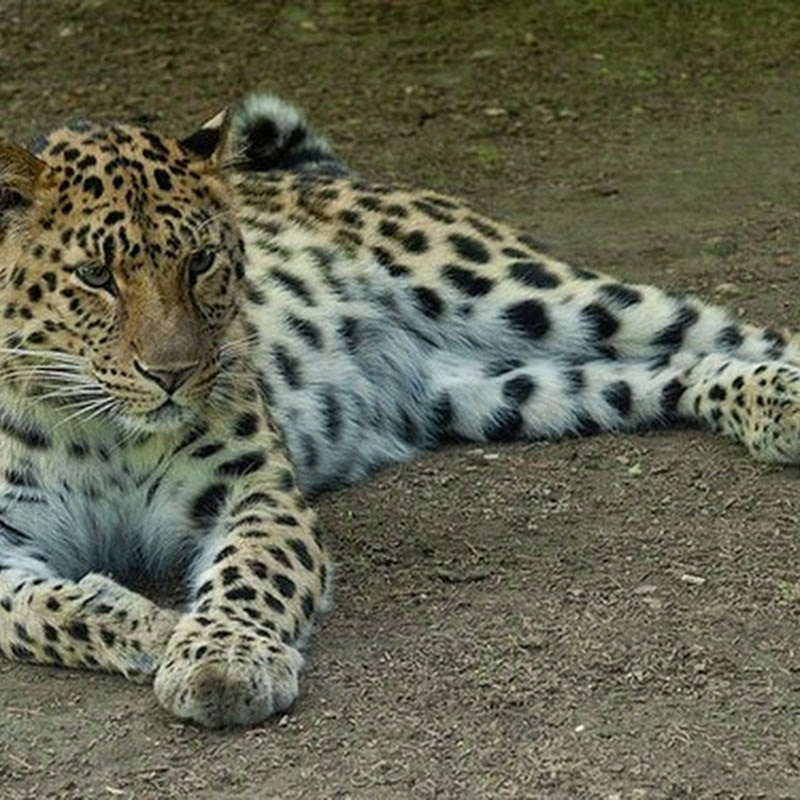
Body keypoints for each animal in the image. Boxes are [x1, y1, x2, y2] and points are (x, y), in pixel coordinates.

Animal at [0, 94, 796, 732]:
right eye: (95, 275)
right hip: (498, 392)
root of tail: (330, 176)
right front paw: (141, 623)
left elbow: (249, 575)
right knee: (667, 371)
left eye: (199, 261)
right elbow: (33, 613)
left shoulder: (255, 491)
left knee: (727, 330)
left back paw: (782, 392)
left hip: (522, 291)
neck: (102, 433)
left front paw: (221, 658)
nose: (174, 374)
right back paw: (768, 405)